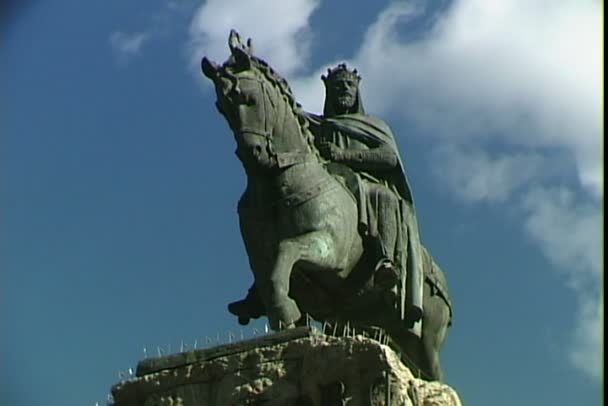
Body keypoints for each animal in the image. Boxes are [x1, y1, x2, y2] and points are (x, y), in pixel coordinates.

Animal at [201, 30, 452, 380]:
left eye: (247, 98)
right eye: (221, 106)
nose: (255, 154)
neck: (277, 187)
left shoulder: (328, 251)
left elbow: (286, 254)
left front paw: (286, 312)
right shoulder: (262, 263)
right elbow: (272, 280)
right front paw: (284, 320)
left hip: (425, 340)